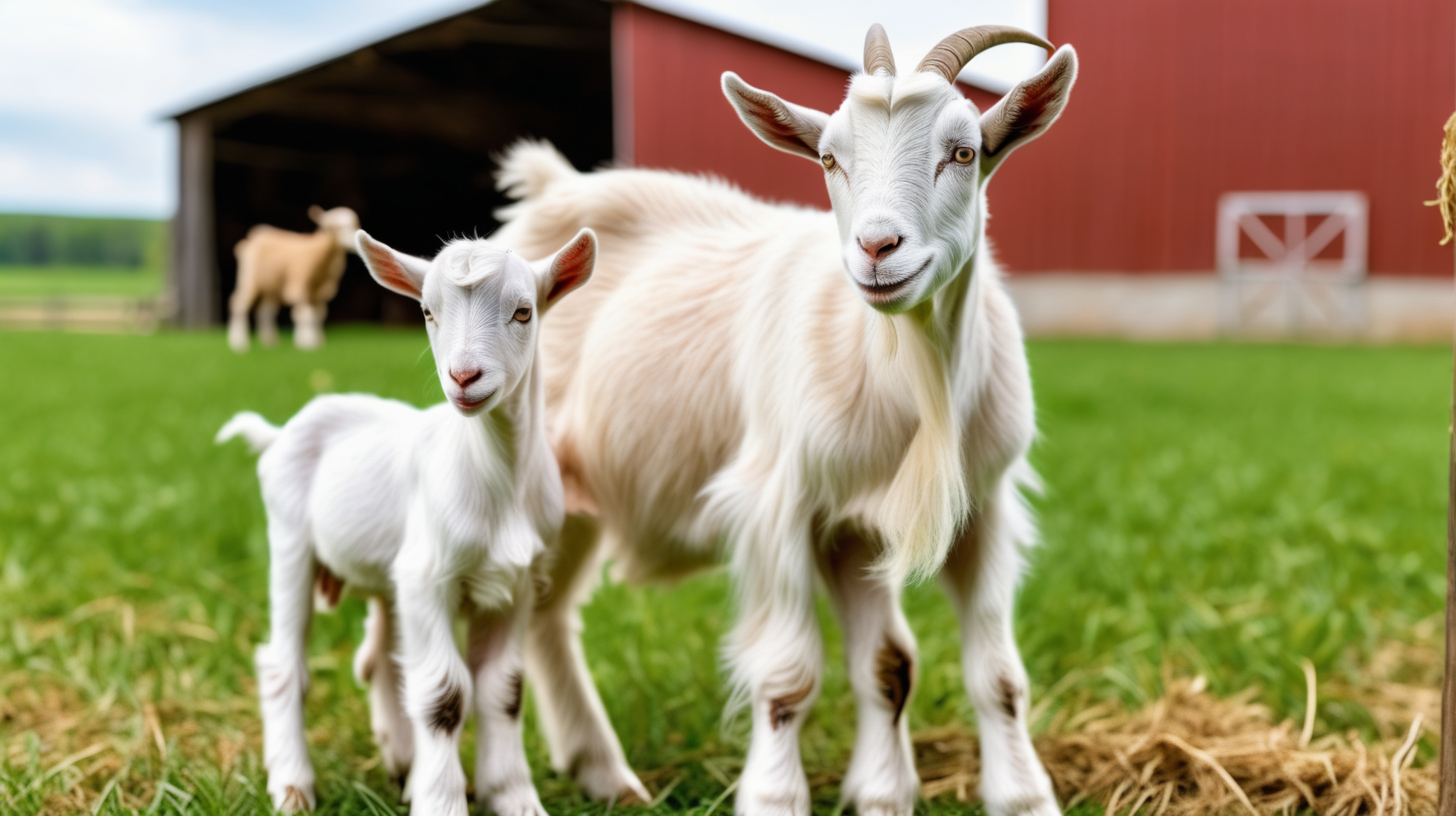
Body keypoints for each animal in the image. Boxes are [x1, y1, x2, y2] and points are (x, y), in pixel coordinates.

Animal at [230, 204, 364, 351]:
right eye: (333, 227)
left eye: (355, 223)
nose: (354, 242)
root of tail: (255, 237)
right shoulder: (300, 285)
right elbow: (304, 315)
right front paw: (306, 343)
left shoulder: (320, 291)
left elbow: (319, 313)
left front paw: (318, 341)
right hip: (250, 280)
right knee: (239, 304)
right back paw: (239, 342)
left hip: (270, 285)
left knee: (266, 310)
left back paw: (269, 342)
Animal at [495, 22, 1077, 816]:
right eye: (830, 158)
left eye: (964, 152)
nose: (876, 248)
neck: (908, 376)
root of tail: (553, 187)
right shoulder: (781, 501)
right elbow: (788, 676)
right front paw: (775, 796)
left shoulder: (944, 513)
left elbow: (942, 669)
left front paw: (960, 796)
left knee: (548, 615)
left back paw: (602, 773)